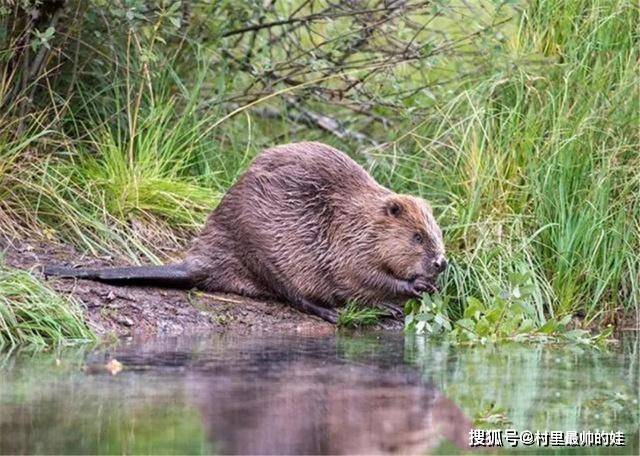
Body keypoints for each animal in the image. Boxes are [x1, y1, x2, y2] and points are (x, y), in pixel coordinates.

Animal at [45, 141, 444, 322]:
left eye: (435, 232)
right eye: (417, 237)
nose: (440, 263)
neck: (360, 218)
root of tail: (197, 264)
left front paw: (427, 287)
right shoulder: (345, 241)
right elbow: (358, 274)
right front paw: (413, 288)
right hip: (263, 249)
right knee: (293, 294)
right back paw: (335, 313)